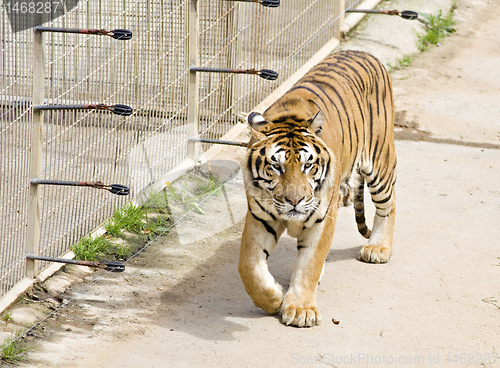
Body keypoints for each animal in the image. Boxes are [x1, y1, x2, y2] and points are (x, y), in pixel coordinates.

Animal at [238, 49, 398, 328]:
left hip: (380, 163)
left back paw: (378, 248)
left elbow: (309, 263)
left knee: (389, 205)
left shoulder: (322, 218)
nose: (294, 201)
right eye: (276, 166)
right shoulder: (259, 217)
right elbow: (249, 265)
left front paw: (300, 310)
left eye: (308, 165)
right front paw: (272, 298)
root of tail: (363, 52)